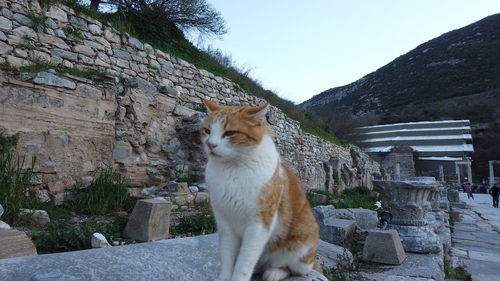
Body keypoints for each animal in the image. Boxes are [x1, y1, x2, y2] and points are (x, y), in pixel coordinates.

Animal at [200, 99, 320, 281]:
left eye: (230, 133)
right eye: (207, 131)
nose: (211, 145)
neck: (232, 169)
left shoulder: (259, 224)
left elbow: (244, 262)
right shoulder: (224, 221)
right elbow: (227, 256)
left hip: (302, 246)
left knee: (295, 269)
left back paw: (274, 272)